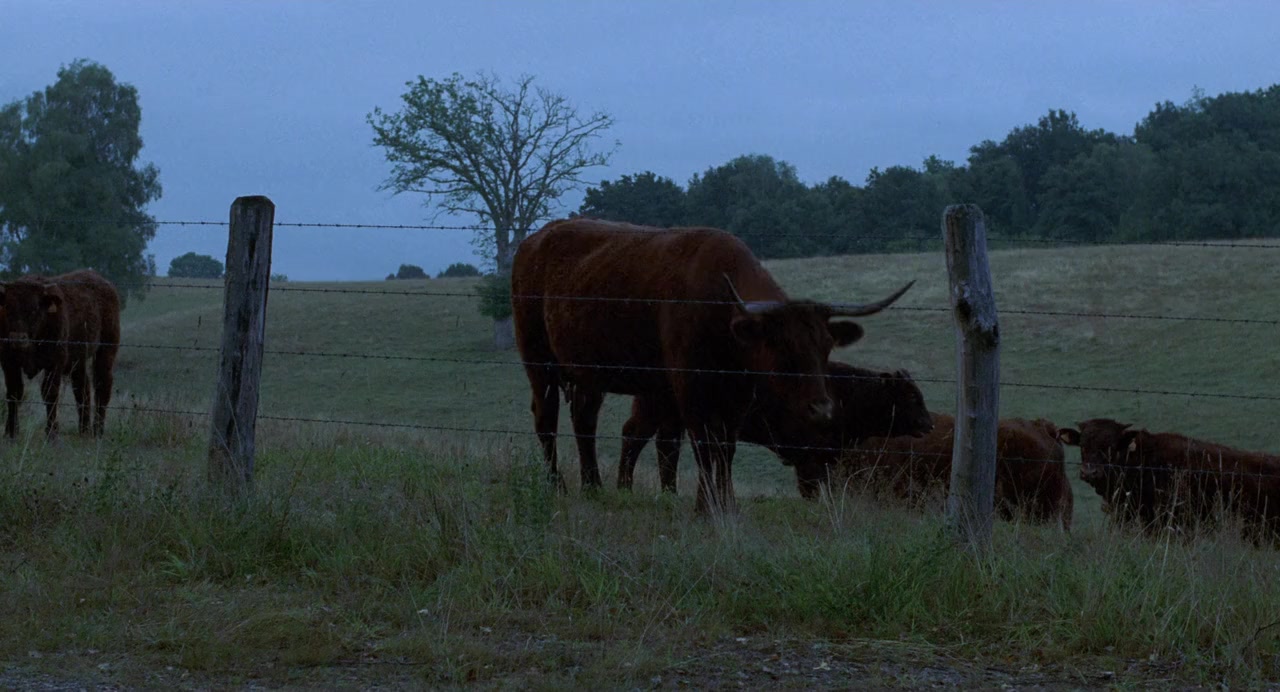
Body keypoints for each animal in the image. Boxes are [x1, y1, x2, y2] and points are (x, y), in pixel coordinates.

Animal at [0, 270, 121, 439]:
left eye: (34, 309)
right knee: (82, 389)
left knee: (102, 385)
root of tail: (105, 284)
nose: (17, 339)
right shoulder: (9, 363)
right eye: (8, 307)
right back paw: (84, 430)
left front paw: (51, 432)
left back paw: (98, 430)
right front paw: (10, 432)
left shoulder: (55, 363)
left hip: (106, 351)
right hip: (78, 361)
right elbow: (14, 393)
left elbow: (50, 394)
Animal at [615, 361, 933, 499]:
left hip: (670, 417)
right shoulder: (809, 460)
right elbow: (812, 490)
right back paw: (624, 487)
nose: (928, 425)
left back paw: (669, 491)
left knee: (664, 446)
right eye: (911, 397)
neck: (847, 392)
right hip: (654, 411)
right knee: (635, 437)